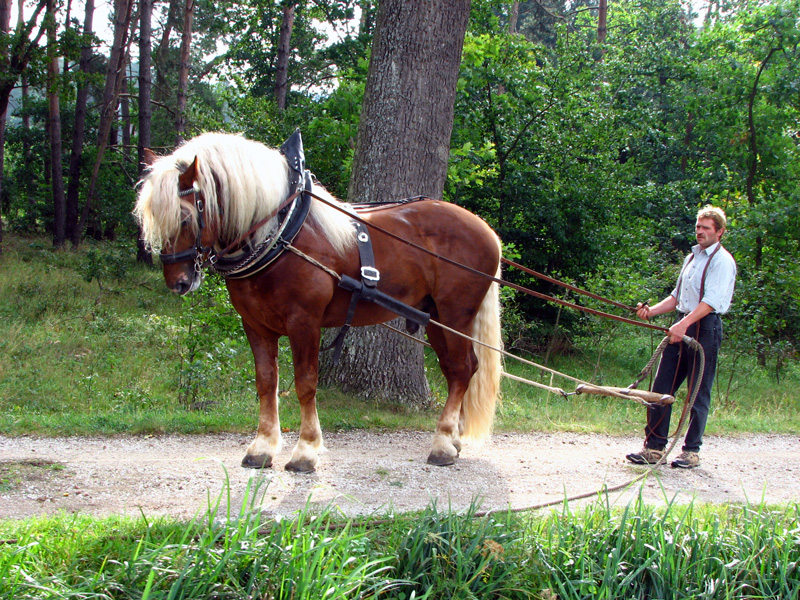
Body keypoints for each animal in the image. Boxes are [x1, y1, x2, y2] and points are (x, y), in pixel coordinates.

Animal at [134, 132, 504, 474]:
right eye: (152, 217)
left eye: (184, 218)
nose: (178, 282)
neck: (281, 231)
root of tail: (488, 232)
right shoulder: (255, 325)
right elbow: (266, 382)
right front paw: (262, 447)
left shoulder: (304, 322)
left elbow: (305, 383)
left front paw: (306, 451)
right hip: (435, 316)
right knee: (459, 369)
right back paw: (453, 439)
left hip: (455, 315)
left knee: (461, 369)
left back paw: (442, 444)